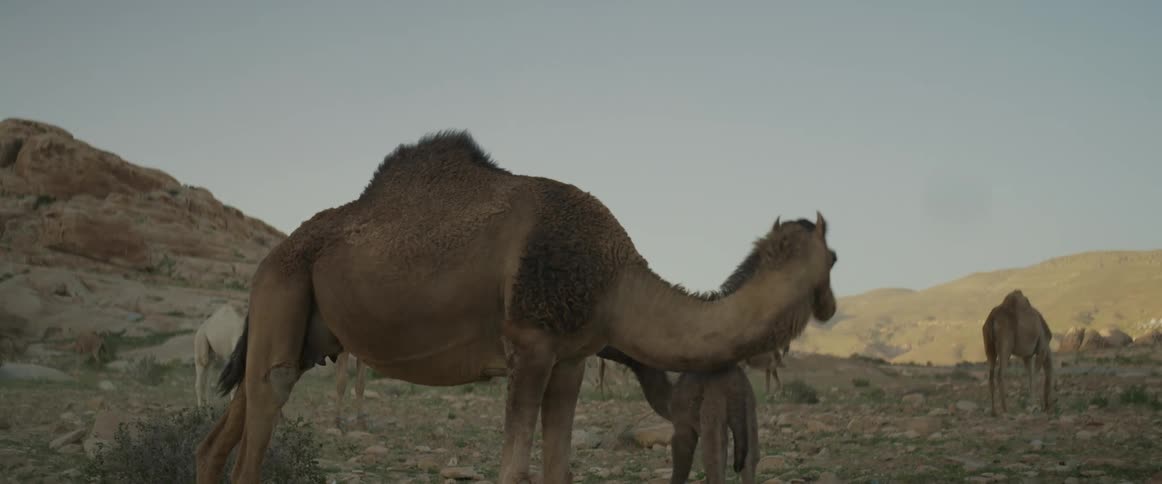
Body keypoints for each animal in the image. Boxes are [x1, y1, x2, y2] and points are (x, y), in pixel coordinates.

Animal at [195, 131, 838, 484]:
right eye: (833, 256)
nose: (831, 307)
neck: (614, 278)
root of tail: (275, 253)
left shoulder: (571, 359)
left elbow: (559, 469)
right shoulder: (528, 347)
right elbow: (515, 469)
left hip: (301, 329)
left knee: (219, 439)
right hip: (282, 288)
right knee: (257, 436)